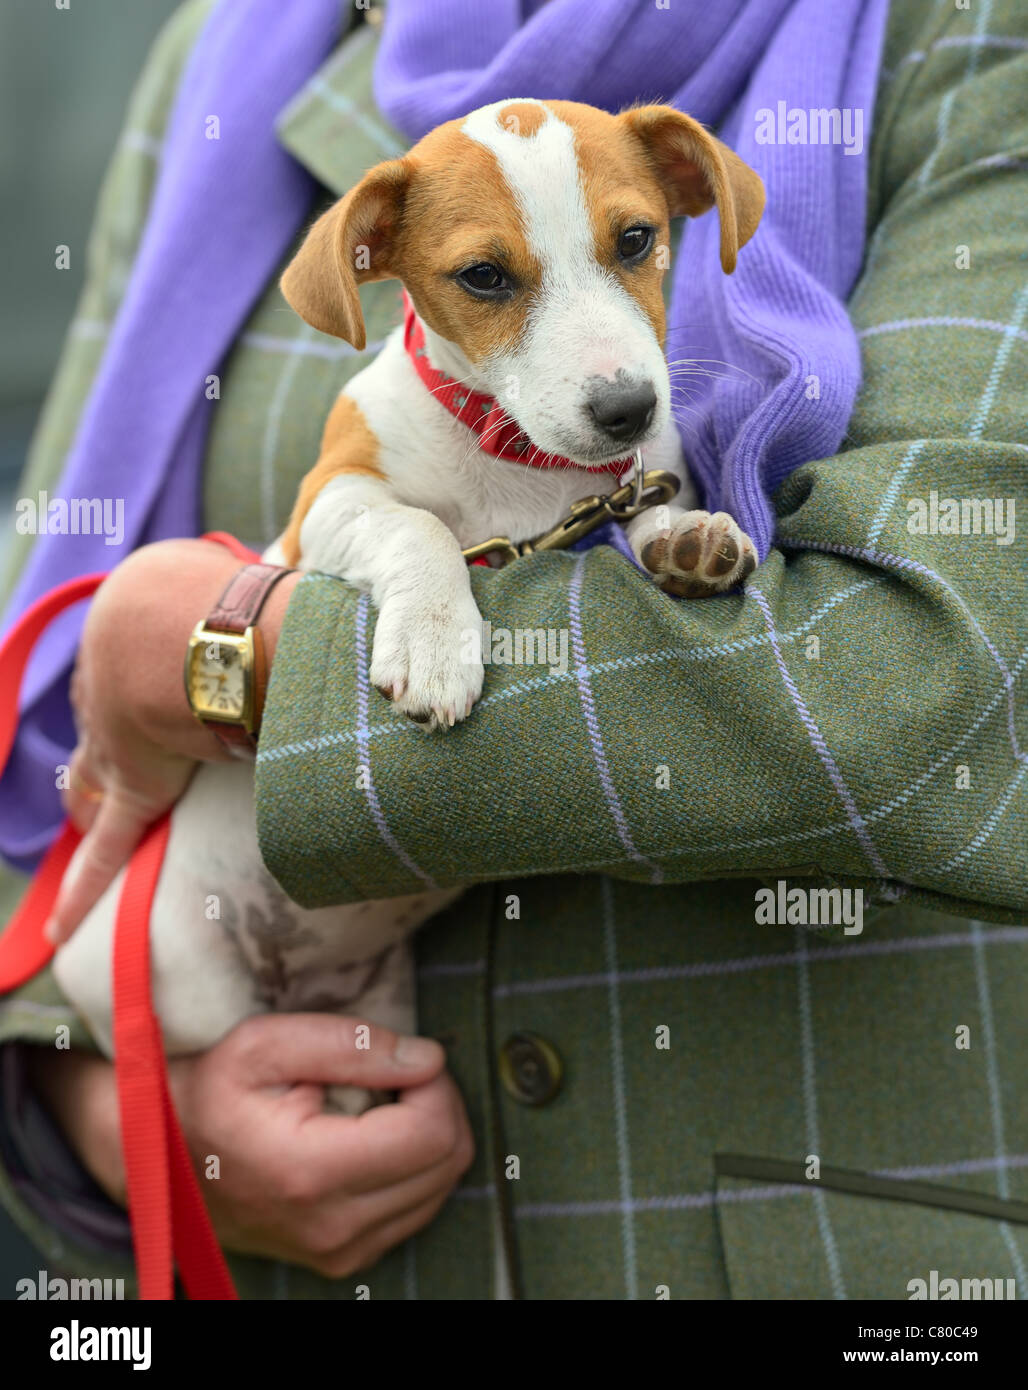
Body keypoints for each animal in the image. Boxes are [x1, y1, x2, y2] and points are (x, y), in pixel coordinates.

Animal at [54, 97, 761, 1112]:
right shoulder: (330, 505)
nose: (627, 408)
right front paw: (434, 643)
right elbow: (418, 530)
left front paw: (686, 539)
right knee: (184, 1060)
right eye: (484, 276)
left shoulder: (632, 481)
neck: (520, 468)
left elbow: (650, 504)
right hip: (166, 976)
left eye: (636, 240)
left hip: (374, 1001)